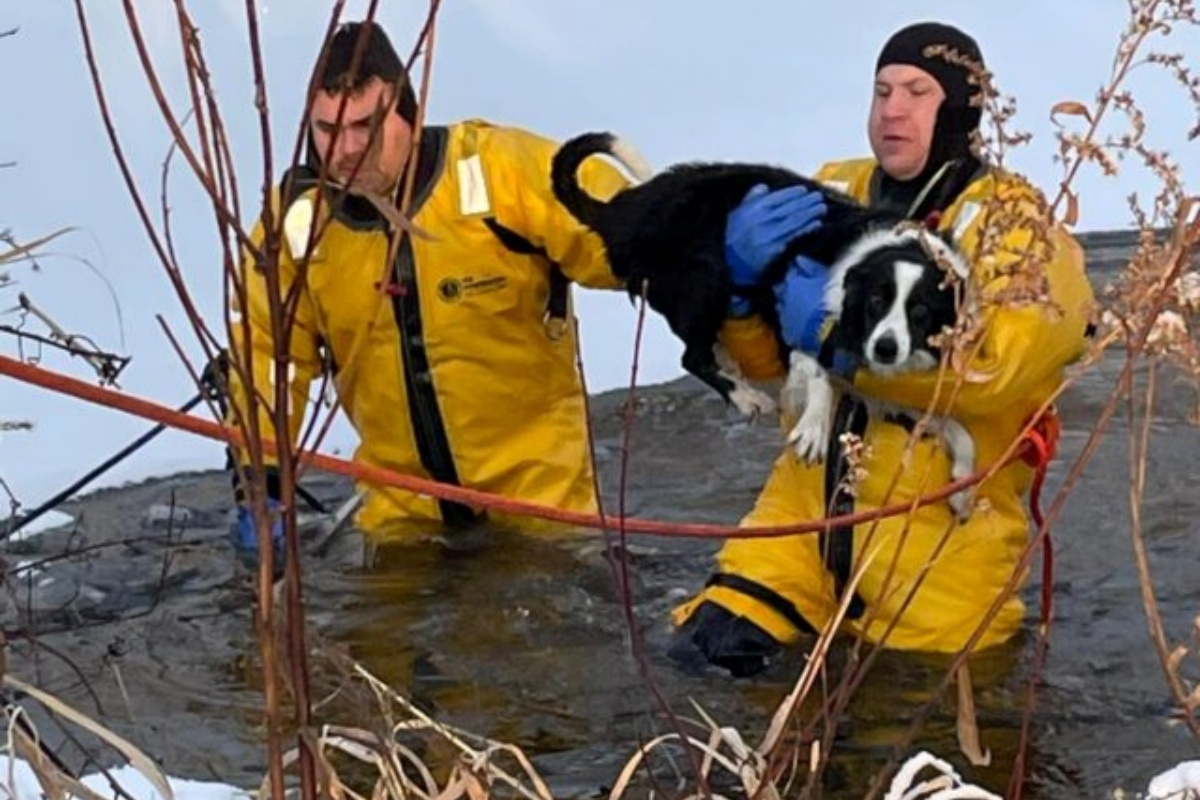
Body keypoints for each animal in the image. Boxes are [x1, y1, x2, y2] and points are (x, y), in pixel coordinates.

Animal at [549, 131, 979, 520]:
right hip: (703, 281)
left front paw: (963, 487)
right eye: (876, 302)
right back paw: (744, 395)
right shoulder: (801, 321)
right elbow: (817, 371)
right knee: (692, 356)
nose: (885, 349)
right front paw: (813, 428)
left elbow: (962, 432)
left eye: (920, 311)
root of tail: (630, 209)